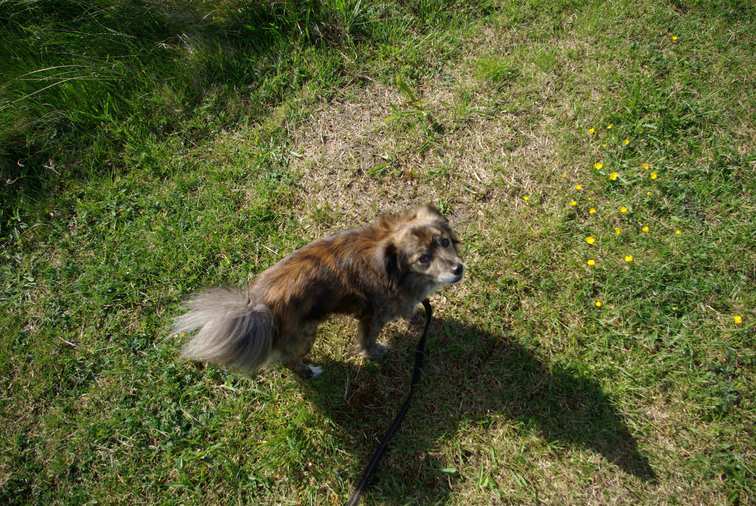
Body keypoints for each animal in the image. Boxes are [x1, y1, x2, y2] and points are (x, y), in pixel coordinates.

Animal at [173, 205, 464, 379]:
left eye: (444, 242)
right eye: (423, 259)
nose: (458, 269)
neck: (393, 269)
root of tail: (257, 307)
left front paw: (415, 315)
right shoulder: (371, 318)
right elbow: (368, 341)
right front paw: (375, 352)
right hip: (305, 336)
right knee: (289, 361)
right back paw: (310, 371)